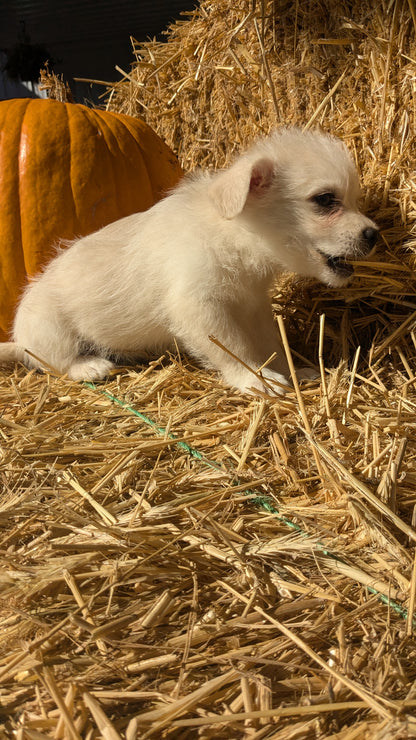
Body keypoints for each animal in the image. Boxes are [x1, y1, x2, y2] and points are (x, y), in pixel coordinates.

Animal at [0, 127, 376, 394]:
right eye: (325, 200)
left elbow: (272, 345)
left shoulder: (253, 308)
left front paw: (294, 372)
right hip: (50, 330)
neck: (232, 235)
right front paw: (258, 379)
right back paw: (90, 366)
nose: (373, 233)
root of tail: (18, 340)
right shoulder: (200, 308)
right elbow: (234, 348)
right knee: (52, 361)